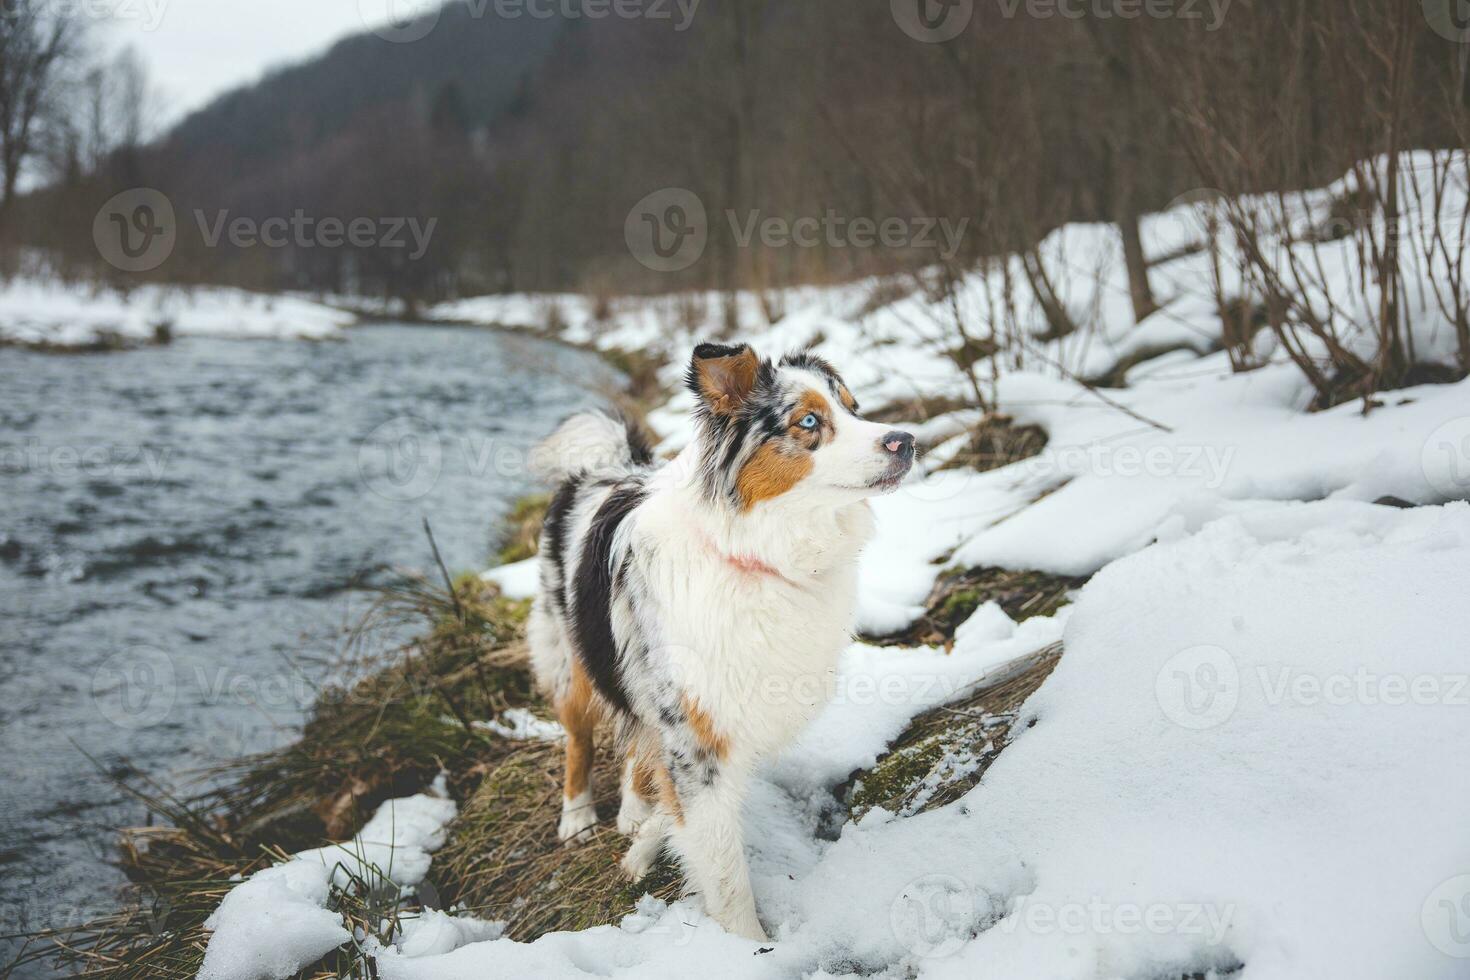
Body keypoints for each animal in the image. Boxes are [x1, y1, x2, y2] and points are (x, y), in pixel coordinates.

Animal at [529, 340, 911, 940]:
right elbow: (726, 873)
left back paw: (634, 814)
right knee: (579, 737)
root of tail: (605, 465)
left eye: (854, 408)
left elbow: (690, 821)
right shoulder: (695, 734)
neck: (760, 553)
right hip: (570, 654)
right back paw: (578, 816)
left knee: (636, 741)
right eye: (808, 421)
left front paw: (647, 843)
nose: (907, 441)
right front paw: (748, 946)